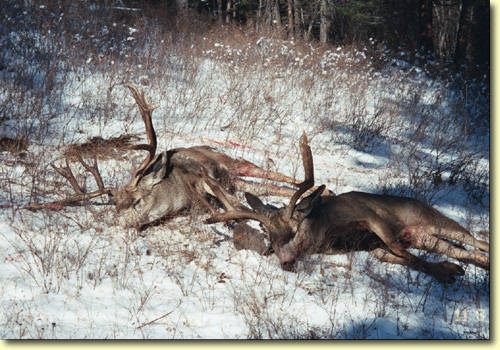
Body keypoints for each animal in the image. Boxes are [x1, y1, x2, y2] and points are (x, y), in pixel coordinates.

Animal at [32, 86, 304, 230]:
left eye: (137, 201)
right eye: (115, 205)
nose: (120, 224)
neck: (179, 189)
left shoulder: (202, 178)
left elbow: (231, 203)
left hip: (236, 163)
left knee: (278, 176)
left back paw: (309, 188)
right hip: (240, 180)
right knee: (272, 187)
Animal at [205, 133, 490, 284]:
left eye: (294, 230)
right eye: (270, 240)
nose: (285, 260)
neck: (324, 229)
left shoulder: (371, 216)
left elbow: (398, 248)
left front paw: (447, 272)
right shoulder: (373, 247)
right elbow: (406, 258)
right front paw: (449, 270)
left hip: (437, 222)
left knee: (477, 241)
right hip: (426, 238)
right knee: (467, 253)